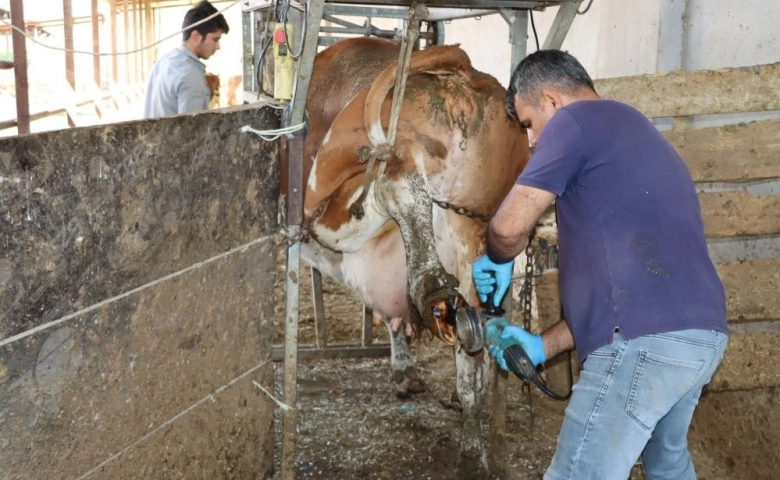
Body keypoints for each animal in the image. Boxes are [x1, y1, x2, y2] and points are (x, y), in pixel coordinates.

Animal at [298, 37, 532, 476]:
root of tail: (465, 75)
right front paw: (405, 372)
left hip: (327, 194)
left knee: (391, 184)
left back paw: (434, 293)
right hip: (476, 231)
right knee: (472, 364)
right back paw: (472, 452)